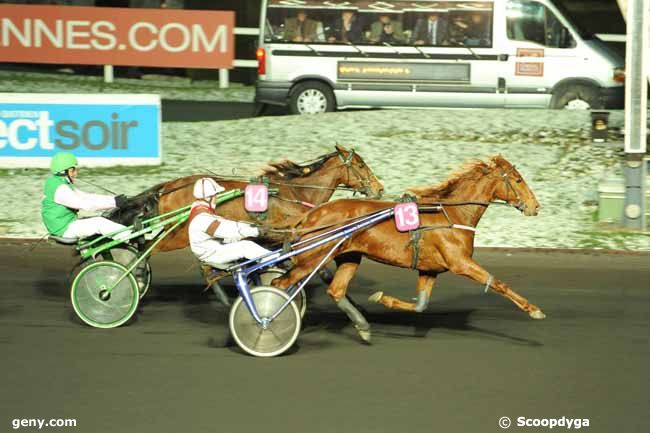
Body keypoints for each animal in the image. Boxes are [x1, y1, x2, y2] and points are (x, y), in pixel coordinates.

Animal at [270, 154, 544, 340]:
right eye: (518, 180)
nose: (536, 206)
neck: (451, 214)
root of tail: (311, 214)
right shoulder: (461, 263)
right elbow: (497, 283)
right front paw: (535, 310)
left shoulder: (430, 269)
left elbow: (421, 305)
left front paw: (383, 299)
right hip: (313, 257)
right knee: (280, 284)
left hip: (349, 256)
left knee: (335, 290)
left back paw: (363, 326)